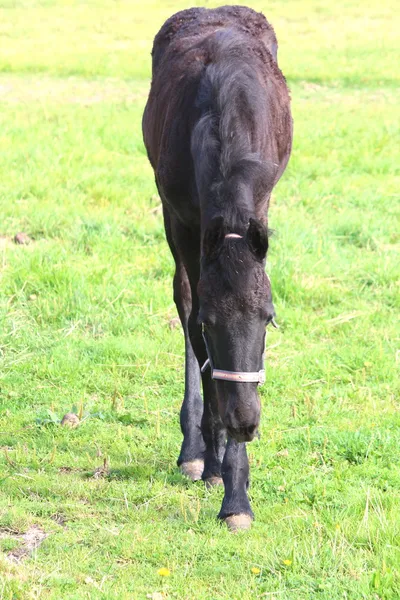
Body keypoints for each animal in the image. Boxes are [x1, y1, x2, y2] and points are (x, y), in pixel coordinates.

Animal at [142, 5, 292, 528]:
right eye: (212, 324)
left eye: (268, 319)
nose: (246, 422)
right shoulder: (184, 220)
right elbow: (192, 323)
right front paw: (223, 478)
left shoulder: (260, 208)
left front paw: (236, 489)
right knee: (181, 296)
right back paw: (194, 451)